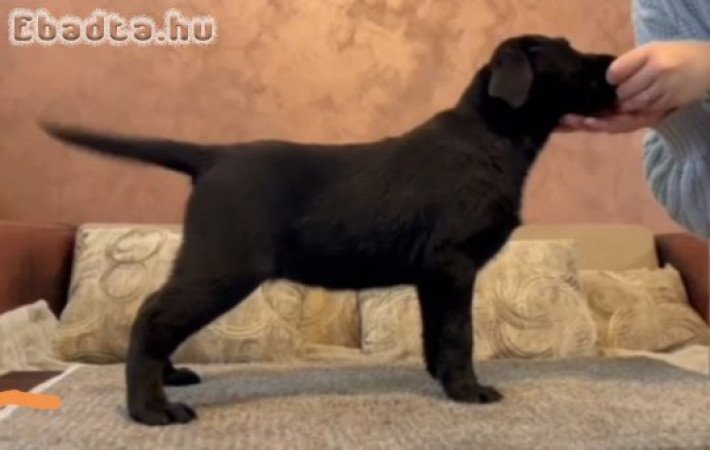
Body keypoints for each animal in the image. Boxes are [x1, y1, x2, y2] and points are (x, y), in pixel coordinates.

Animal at [44, 35, 620, 426]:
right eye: (570, 53)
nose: (614, 64)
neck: (491, 136)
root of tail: (214, 157)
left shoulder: (433, 275)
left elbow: (437, 333)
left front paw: (443, 381)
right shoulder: (454, 263)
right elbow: (460, 333)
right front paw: (469, 391)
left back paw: (167, 379)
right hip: (224, 264)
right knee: (153, 313)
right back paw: (152, 409)